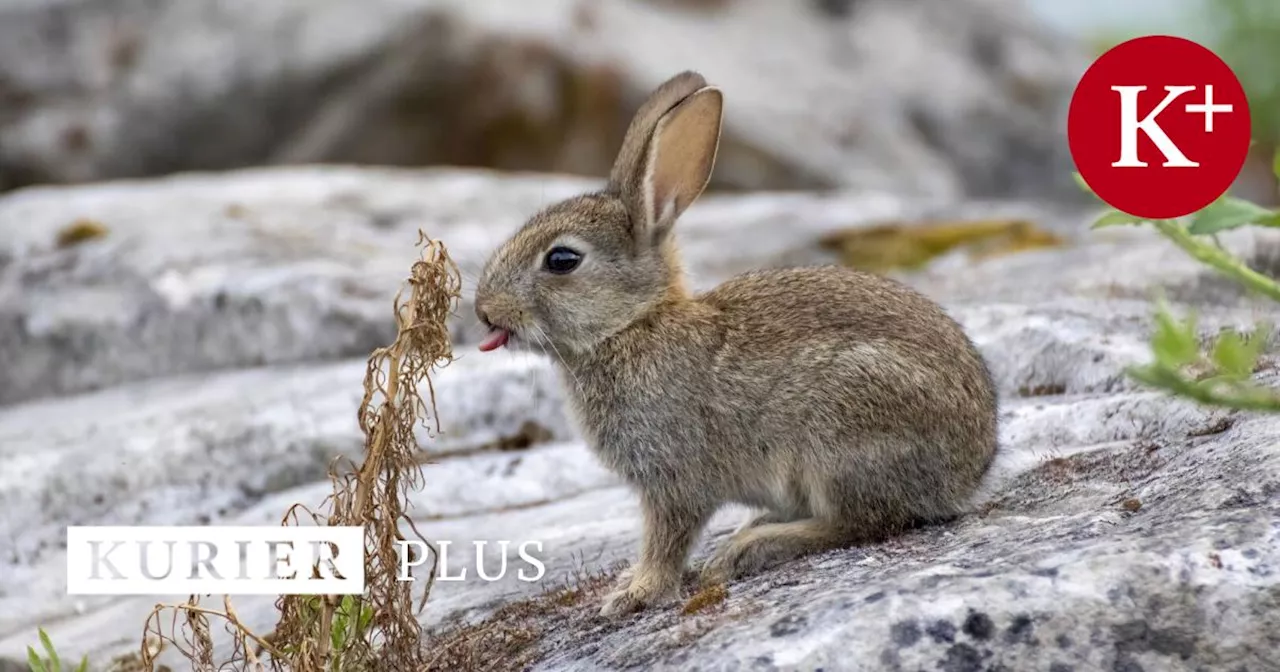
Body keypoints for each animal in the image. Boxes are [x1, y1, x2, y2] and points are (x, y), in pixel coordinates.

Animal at [471, 69, 998, 611]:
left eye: (562, 260)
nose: (483, 310)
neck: (633, 325)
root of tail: (967, 473)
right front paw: (632, 584)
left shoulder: (673, 478)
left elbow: (667, 538)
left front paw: (636, 593)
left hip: (841, 433)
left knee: (862, 522)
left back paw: (749, 548)